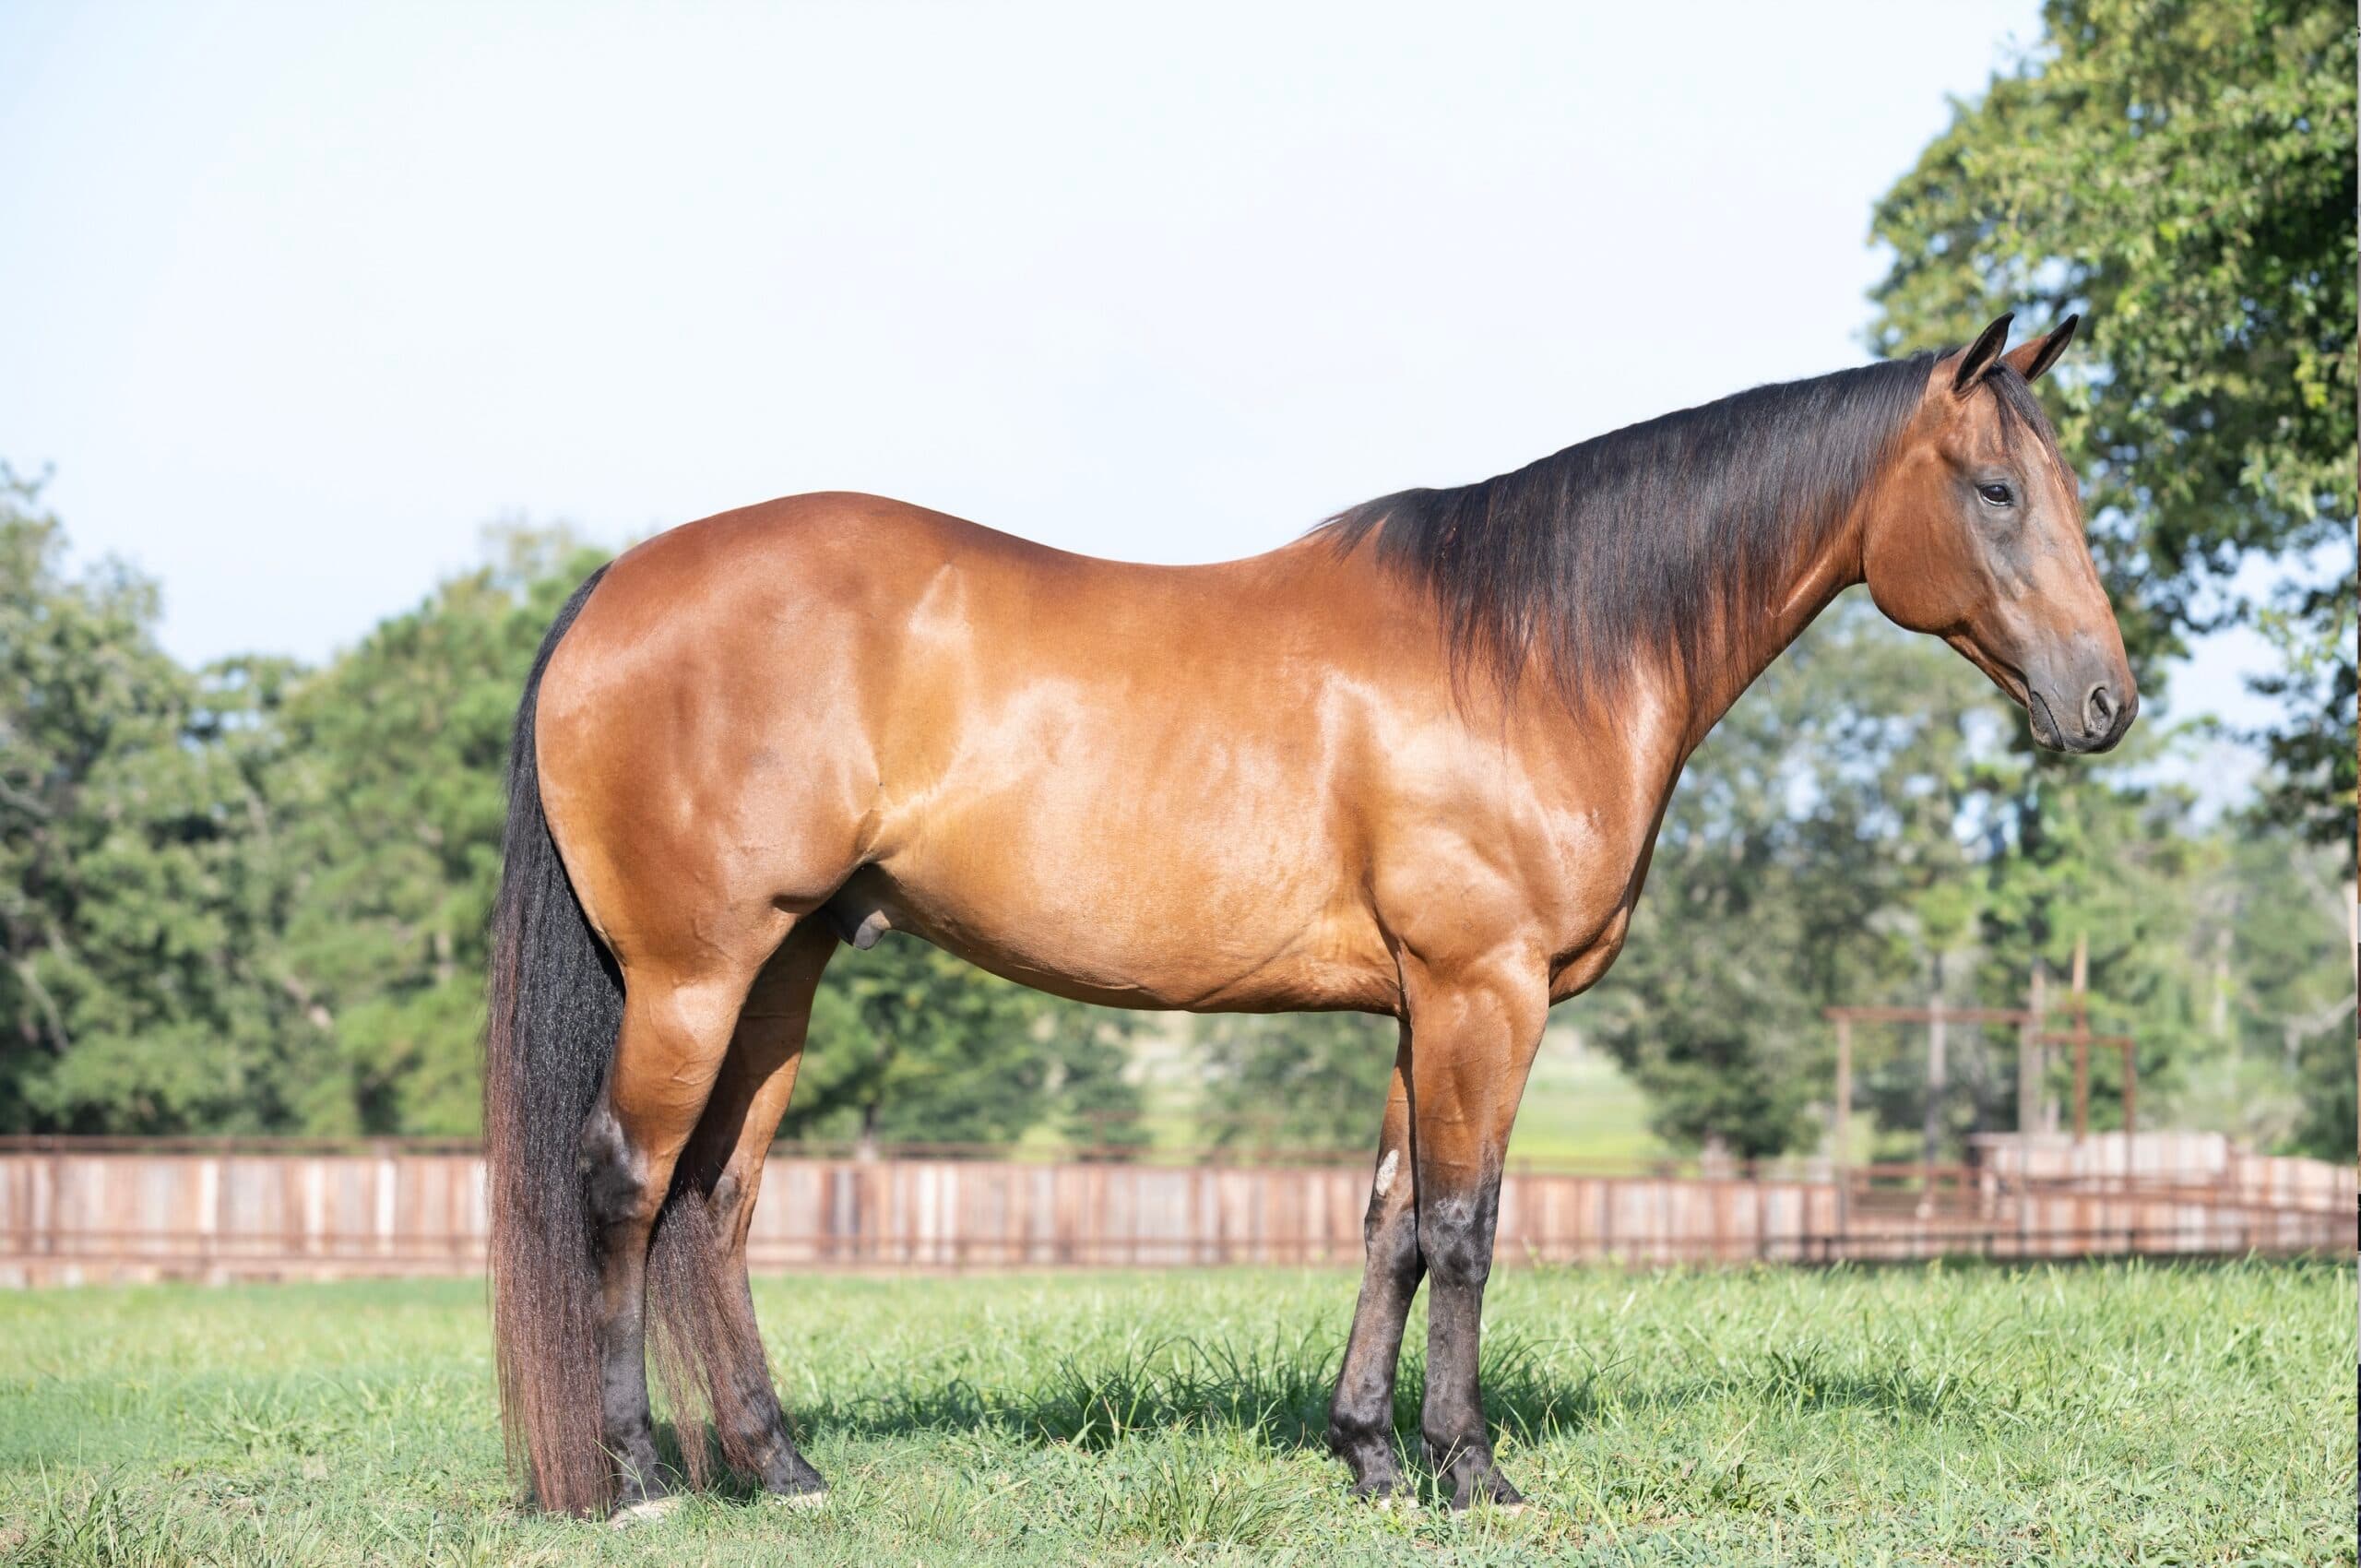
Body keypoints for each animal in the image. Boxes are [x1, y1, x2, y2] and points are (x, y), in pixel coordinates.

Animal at [483, 313, 2132, 1519]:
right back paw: (639, 1480)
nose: (2106, 701)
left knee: (716, 1205)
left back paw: (783, 1470)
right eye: (1997, 491)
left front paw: (1371, 1455)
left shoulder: (1423, 1004)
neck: (1534, 650)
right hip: (695, 973)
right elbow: (1465, 1228)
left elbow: (1391, 1222)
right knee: (624, 1185)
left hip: (784, 972)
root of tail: (616, 587)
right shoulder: (1484, 990)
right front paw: (1472, 1471)